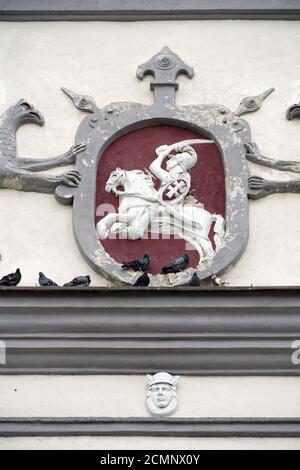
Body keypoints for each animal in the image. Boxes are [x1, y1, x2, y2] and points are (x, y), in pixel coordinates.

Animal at [96, 167, 225, 262]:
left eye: (114, 175)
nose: (107, 187)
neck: (140, 196)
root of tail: (210, 215)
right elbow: (115, 220)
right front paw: (110, 230)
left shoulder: (134, 215)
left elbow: (112, 216)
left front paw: (103, 230)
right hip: (188, 235)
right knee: (201, 248)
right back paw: (202, 262)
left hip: (200, 233)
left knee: (208, 246)